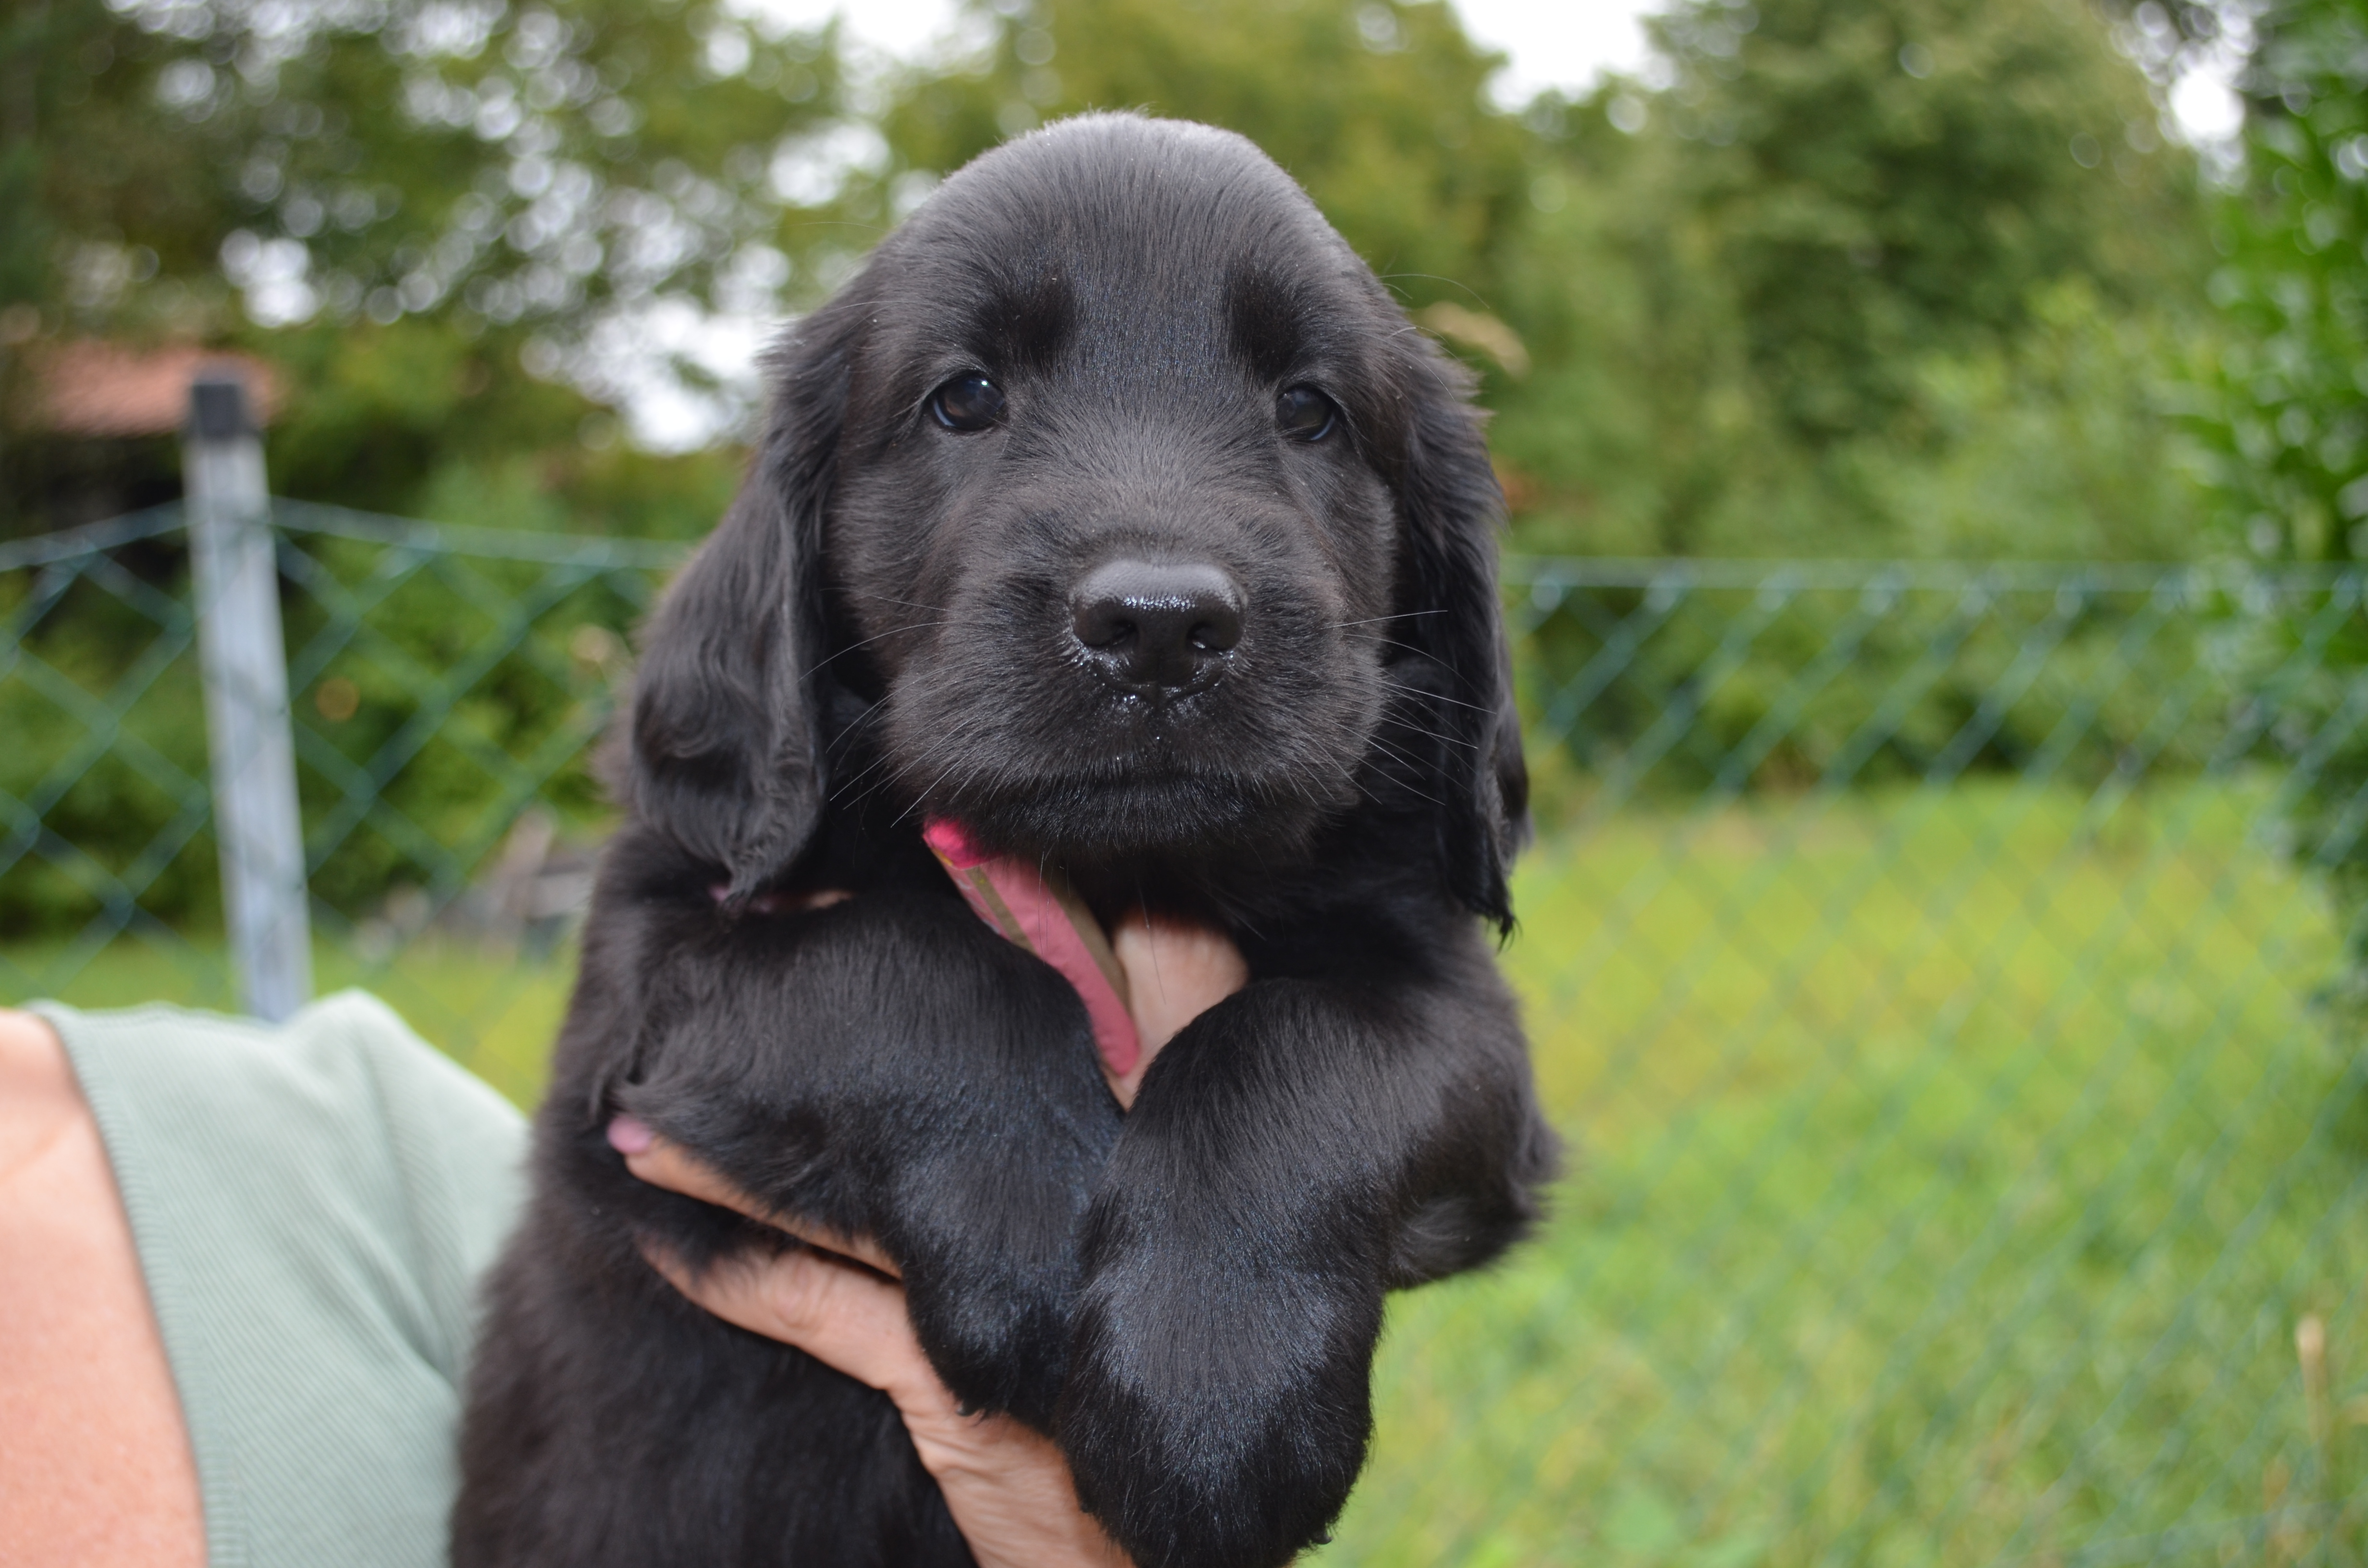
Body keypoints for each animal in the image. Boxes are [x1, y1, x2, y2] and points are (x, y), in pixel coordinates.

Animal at [453, 112, 1557, 1568]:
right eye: (966, 398)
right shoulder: (646, 995)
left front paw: (1212, 1395)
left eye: (1310, 409)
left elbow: (1299, 1051)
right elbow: (907, 972)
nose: (1160, 626)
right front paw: (1033, 1240)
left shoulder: (1460, 1005)